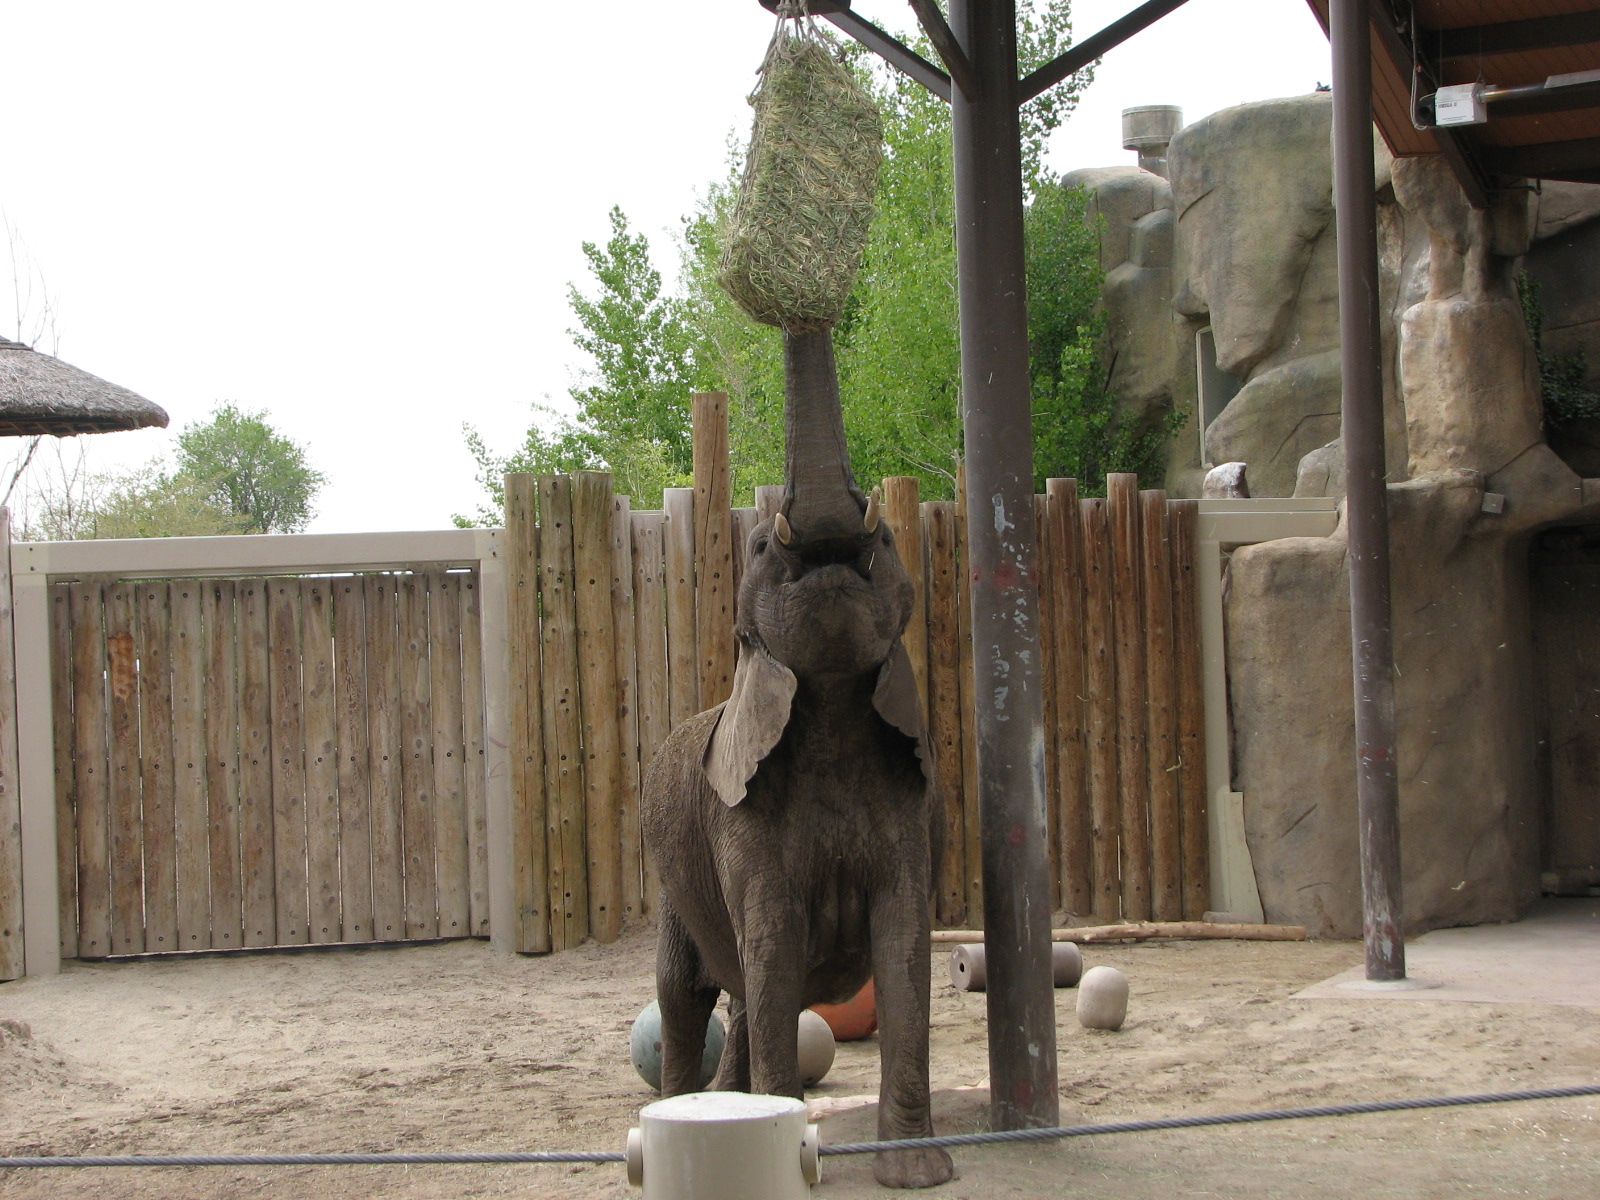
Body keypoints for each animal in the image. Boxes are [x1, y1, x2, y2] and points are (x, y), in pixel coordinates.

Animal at [640, 328, 955, 1189]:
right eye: (756, 543)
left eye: (886, 540)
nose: (833, 544)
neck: (833, 714)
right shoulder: (739, 821)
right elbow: (775, 945)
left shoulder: (911, 810)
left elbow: (904, 948)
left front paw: (918, 1174)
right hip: (671, 879)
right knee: (684, 994)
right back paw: (684, 1113)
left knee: (742, 1000)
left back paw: (733, 1101)